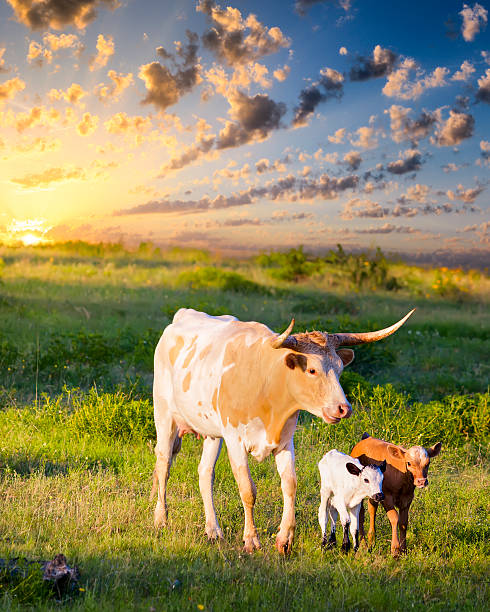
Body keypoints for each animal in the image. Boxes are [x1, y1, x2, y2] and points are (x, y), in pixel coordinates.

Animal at [152, 308, 414, 552]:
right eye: (312, 370)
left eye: (340, 369)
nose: (343, 408)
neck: (266, 384)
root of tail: (181, 316)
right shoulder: (235, 440)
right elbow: (247, 489)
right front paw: (251, 539)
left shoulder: (286, 441)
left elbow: (290, 484)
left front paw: (284, 539)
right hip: (164, 415)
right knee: (164, 465)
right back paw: (160, 519)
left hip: (212, 433)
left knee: (205, 473)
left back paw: (213, 530)